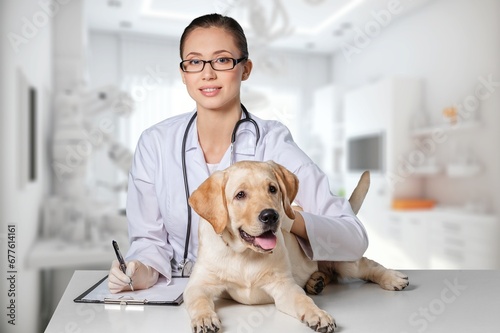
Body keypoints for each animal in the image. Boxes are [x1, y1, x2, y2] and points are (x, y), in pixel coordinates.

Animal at [186, 161, 408, 332]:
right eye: (240, 195)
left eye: (272, 189)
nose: (271, 216)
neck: (244, 254)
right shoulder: (198, 285)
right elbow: (199, 301)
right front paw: (205, 318)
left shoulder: (284, 286)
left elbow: (303, 300)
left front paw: (318, 314)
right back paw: (316, 281)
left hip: (343, 257)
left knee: (367, 265)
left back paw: (392, 278)